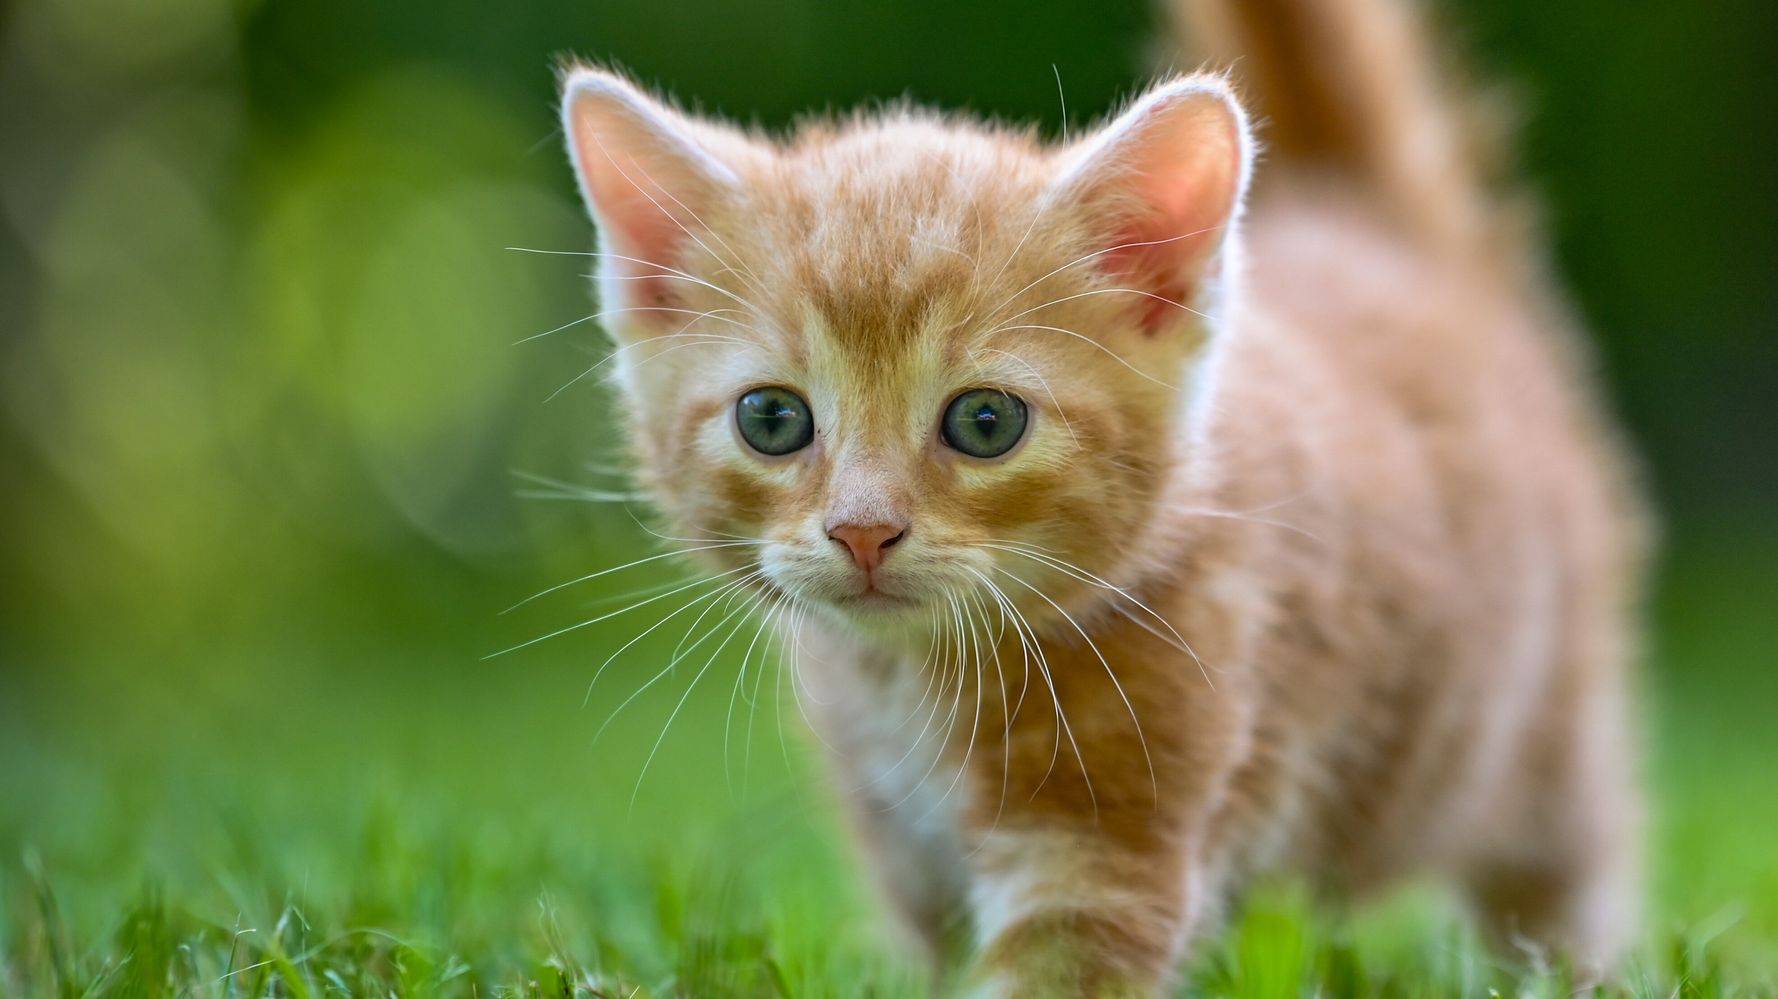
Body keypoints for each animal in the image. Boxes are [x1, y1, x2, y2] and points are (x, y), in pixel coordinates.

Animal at [561, 0, 1642, 981]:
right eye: (773, 420)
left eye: (984, 423)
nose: (863, 530)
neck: (913, 683)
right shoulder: (907, 858)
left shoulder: (1104, 850)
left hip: (1548, 729)